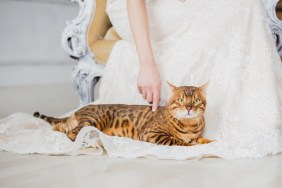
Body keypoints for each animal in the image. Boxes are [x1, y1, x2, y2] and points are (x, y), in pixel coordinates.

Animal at [34, 82, 212, 147]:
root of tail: (79, 110)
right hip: (94, 120)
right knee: (72, 133)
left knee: (60, 127)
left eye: (196, 100)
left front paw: (209, 141)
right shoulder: (151, 134)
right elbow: (179, 141)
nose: (188, 107)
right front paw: (193, 146)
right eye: (181, 99)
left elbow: (200, 139)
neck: (189, 125)